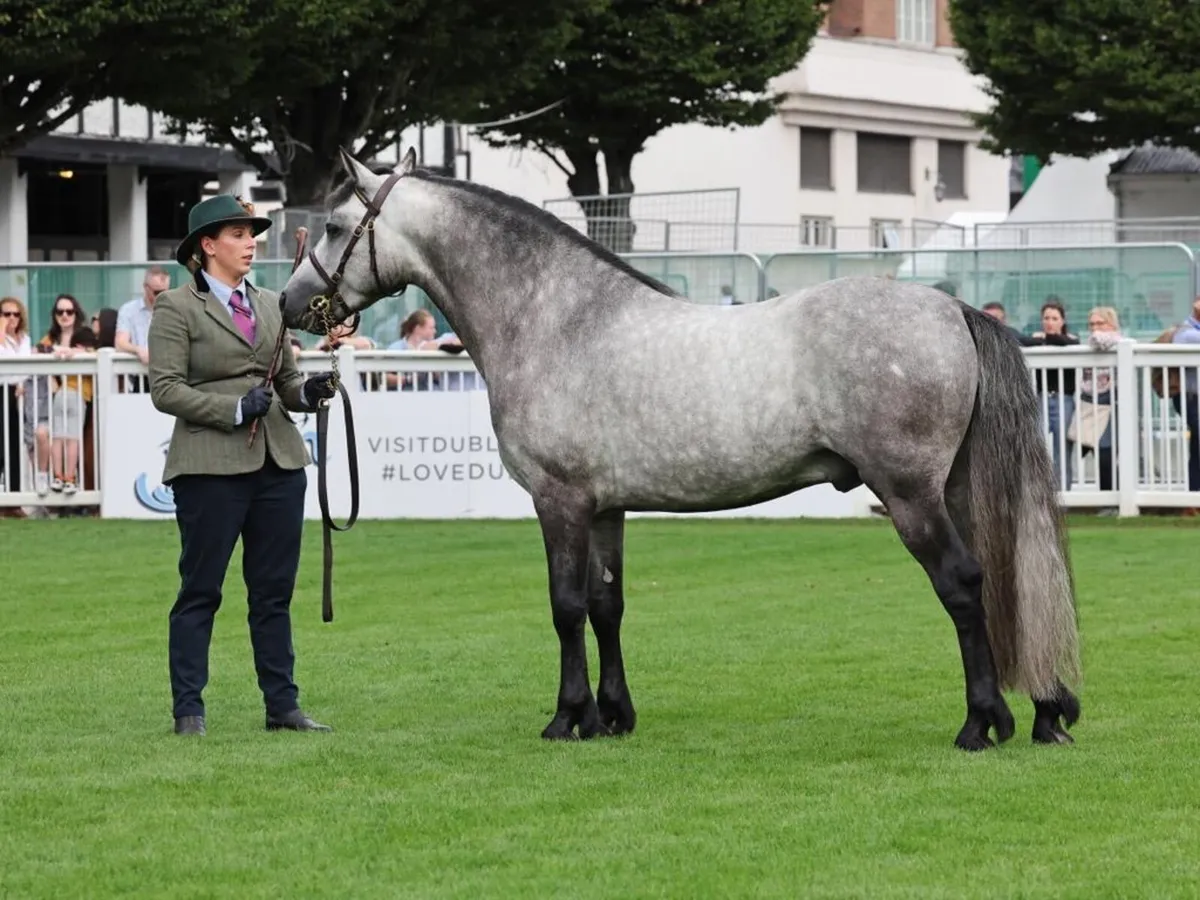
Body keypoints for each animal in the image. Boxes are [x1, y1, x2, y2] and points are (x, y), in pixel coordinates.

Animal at [278, 147, 1082, 752]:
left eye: (337, 225)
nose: (289, 305)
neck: (557, 319)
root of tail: (951, 308)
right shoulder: (605, 509)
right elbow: (608, 605)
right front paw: (612, 716)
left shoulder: (559, 501)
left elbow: (566, 606)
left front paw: (566, 718)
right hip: (953, 488)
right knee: (998, 580)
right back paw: (1044, 711)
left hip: (910, 493)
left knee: (962, 584)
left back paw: (982, 724)